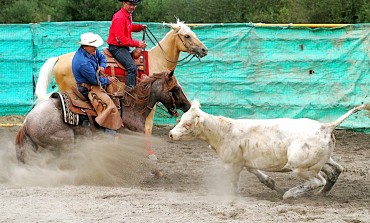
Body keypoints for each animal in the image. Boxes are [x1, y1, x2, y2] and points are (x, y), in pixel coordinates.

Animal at [16, 70, 191, 163]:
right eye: (176, 88)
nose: (187, 105)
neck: (133, 108)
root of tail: (27, 122)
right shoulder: (132, 135)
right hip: (64, 142)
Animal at [169, 99, 368, 199]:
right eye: (181, 119)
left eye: (187, 124)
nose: (171, 134)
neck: (224, 131)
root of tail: (326, 127)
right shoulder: (245, 160)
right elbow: (255, 171)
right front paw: (270, 183)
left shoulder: (232, 164)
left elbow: (234, 181)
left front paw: (232, 195)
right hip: (320, 161)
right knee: (335, 170)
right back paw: (322, 193)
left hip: (300, 165)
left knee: (318, 180)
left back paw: (290, 194)